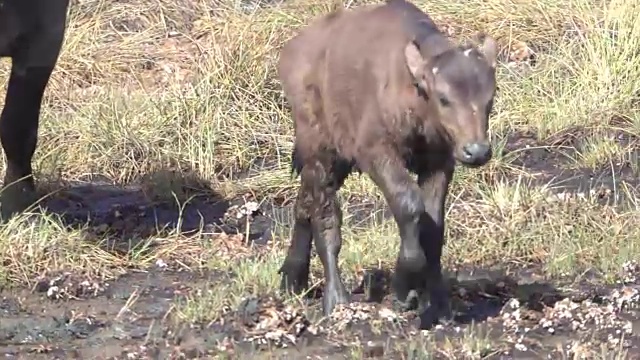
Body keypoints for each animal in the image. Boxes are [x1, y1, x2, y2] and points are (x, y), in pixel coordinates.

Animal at [278, 0, 498, 328]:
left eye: (490, 99)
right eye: (444, 98)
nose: (477, 151)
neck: (411, 86)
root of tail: (293, 50)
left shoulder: (439, 163)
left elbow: (434, 226)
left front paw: (439, 306)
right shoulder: (376, 153)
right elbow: (409, 204)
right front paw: (404, 288)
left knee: (304, 204)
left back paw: (293, 279)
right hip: (322, 152)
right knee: (325, 215)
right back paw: (336, 299)